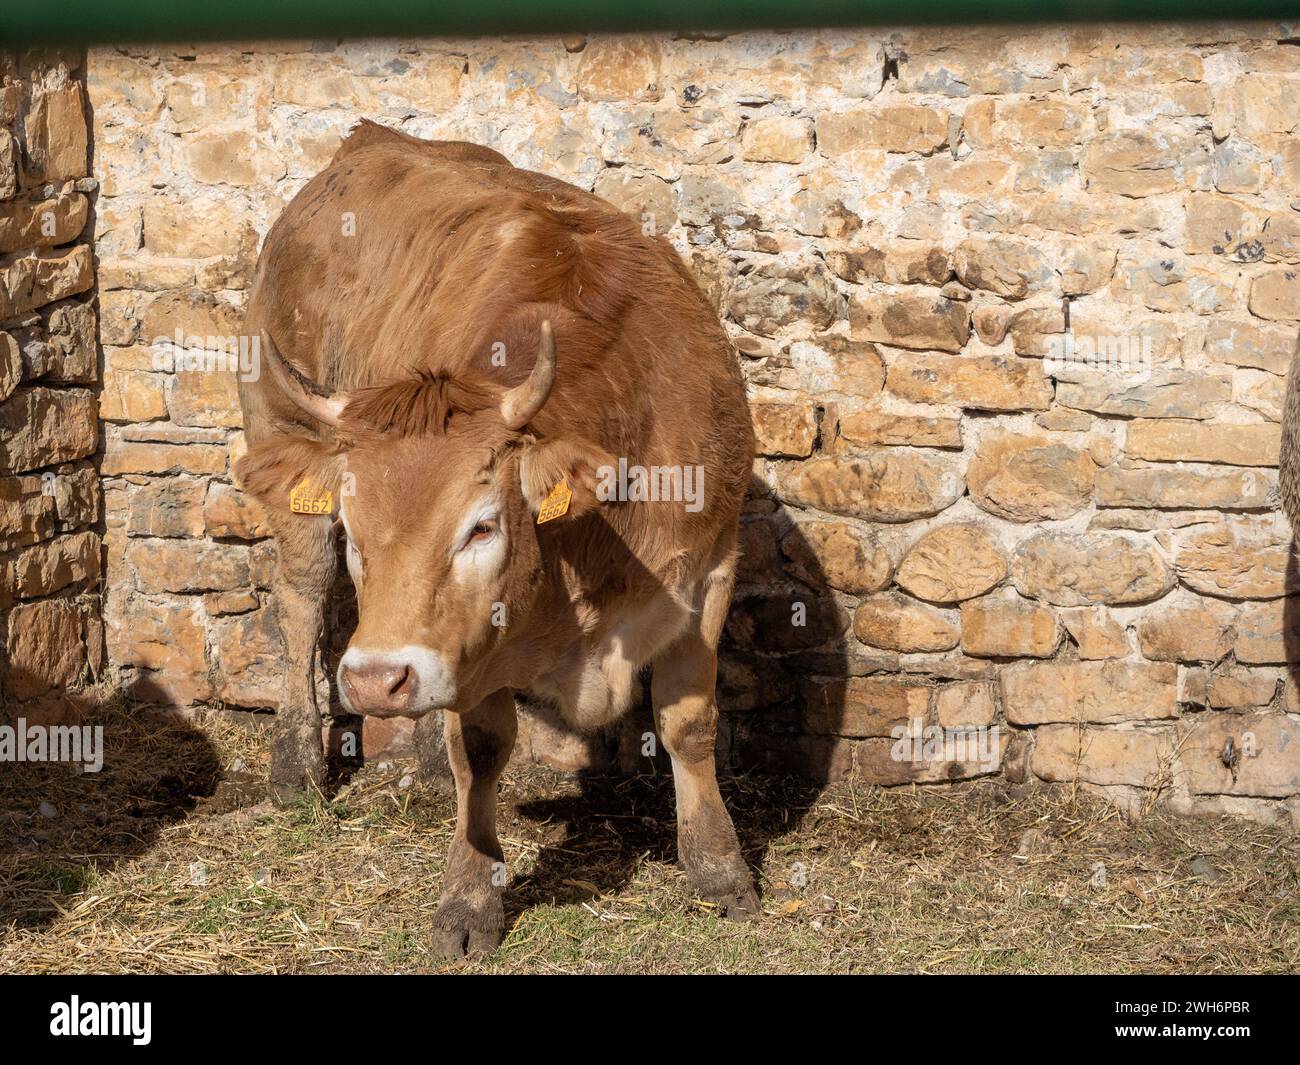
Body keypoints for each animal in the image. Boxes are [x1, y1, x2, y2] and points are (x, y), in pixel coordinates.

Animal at [235, 120, 758, 957]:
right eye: (357, 528)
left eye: (481, 524)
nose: (377, 679)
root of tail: (367, 142)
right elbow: (479, 754)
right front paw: (469, 896)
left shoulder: (708, 568)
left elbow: (687, 721)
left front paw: (719, 870)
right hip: (279, 439)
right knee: (301, 601)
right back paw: (296, 764)